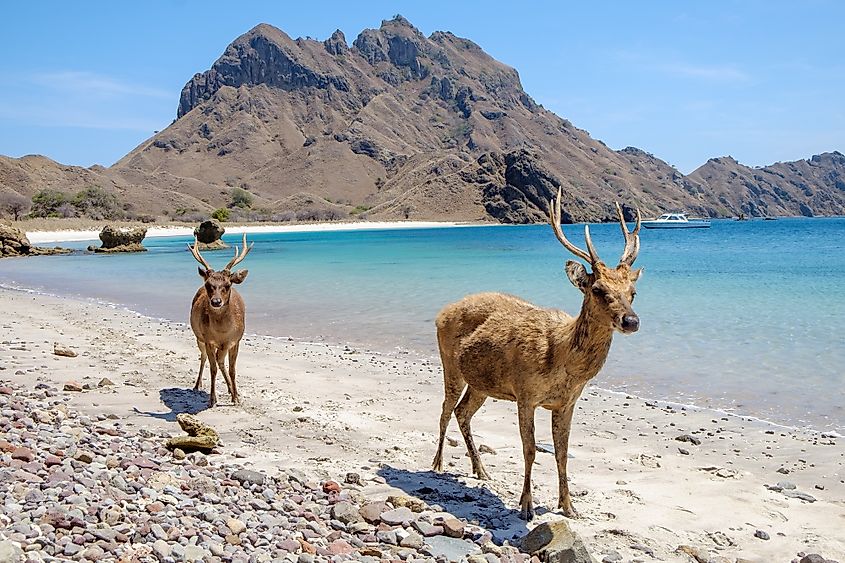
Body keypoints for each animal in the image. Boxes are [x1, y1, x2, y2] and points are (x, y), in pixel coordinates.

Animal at [185, 231, 249, 408]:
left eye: (227, 285)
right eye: (209, 285)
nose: (216, 301)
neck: (222, 333)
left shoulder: (235, 341)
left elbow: (232, 369)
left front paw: (236, 397)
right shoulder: (208, 340)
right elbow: (212, 368)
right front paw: (212, 399)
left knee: (221, 362)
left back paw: (231, 390)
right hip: (199, 337)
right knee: (204, 358)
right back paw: (197, 385)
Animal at [436, 189, 640, 520]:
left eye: (633, 292)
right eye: (597, 289)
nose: (631, 321)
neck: (560, 359)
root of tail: (441, 312)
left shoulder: (567, 403)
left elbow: (562, 453)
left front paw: (569, 507)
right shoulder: (525, 393)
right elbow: (530, 449)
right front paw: (526, 506)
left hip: (481, 384)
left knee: (462, 412)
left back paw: (481, 470)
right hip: (449, 364)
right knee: (445, 409)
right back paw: (437, 464)